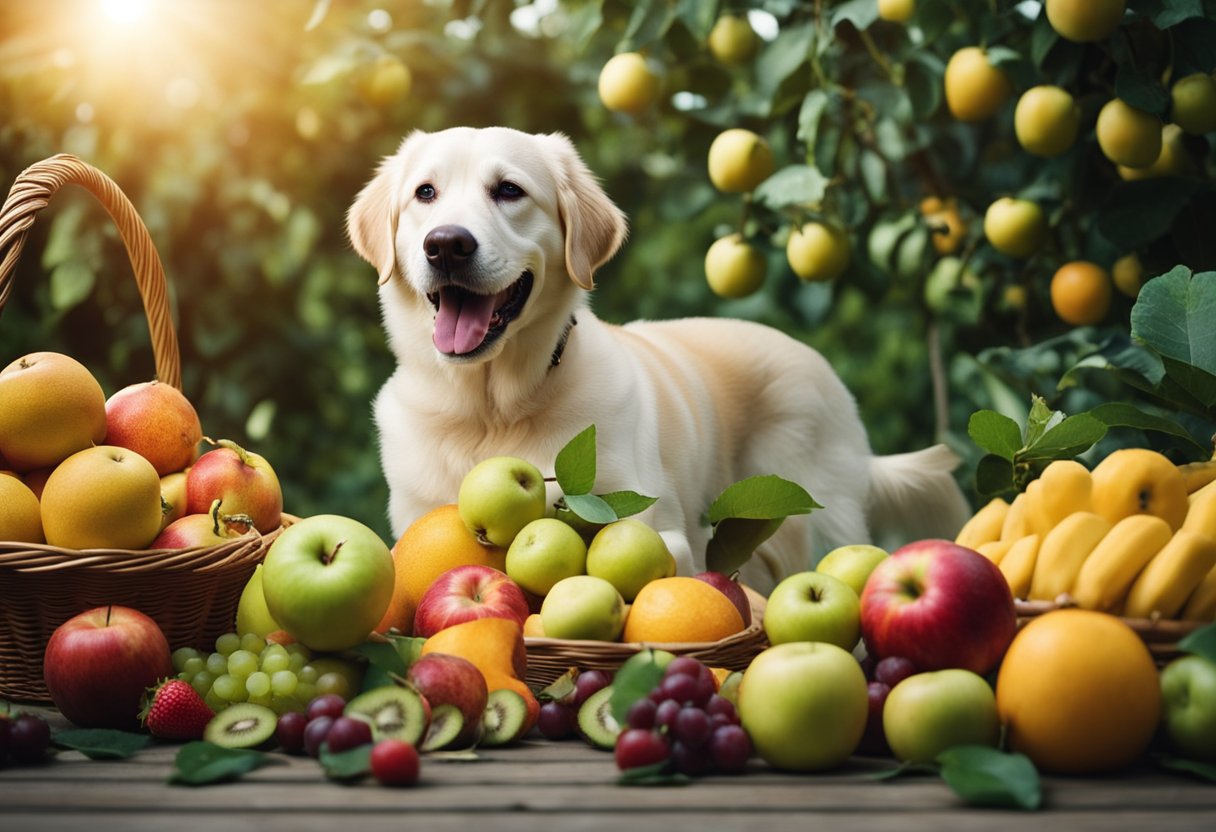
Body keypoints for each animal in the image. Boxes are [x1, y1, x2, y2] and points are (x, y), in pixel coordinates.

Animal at [347, 126, 972, 593]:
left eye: (509, 190)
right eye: (425, 194)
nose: (446, 244)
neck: (489, 410)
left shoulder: (652, 524)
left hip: (809, 519)